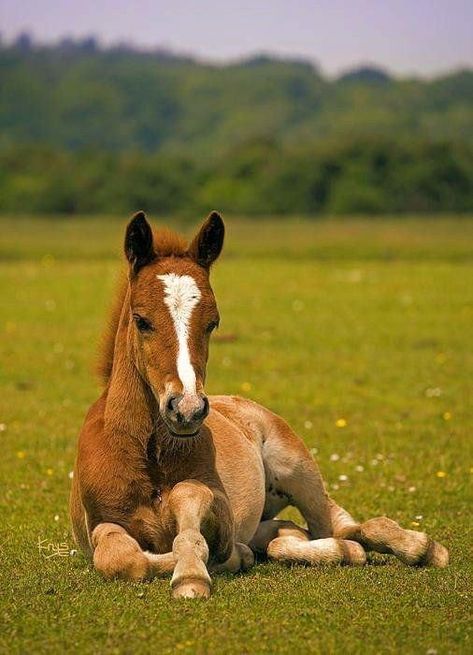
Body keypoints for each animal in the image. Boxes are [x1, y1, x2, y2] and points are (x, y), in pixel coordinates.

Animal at [69, 211, 446, 600]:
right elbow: (122, 558)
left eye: (213, 323)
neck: (148, 456)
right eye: (142, 320)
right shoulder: (99, 524)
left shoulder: (222, 511)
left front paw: (196, 573)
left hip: (298, 469)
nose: (187, 409)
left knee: (338, 525)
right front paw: (225, 560)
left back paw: (421, 547)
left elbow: (190, 510)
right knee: (296, 535)